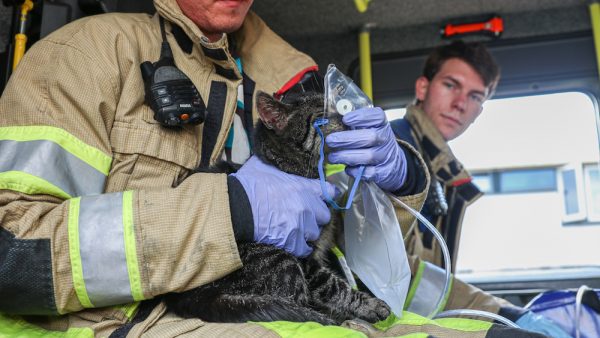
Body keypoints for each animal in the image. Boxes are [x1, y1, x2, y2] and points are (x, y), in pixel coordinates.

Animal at [164, 90, 392, 324]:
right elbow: (334, 287)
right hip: (279, 259)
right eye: (322, 116)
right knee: (299, 301)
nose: (346, 117)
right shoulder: (305, 257)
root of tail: (187, 298)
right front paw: (370, 305)